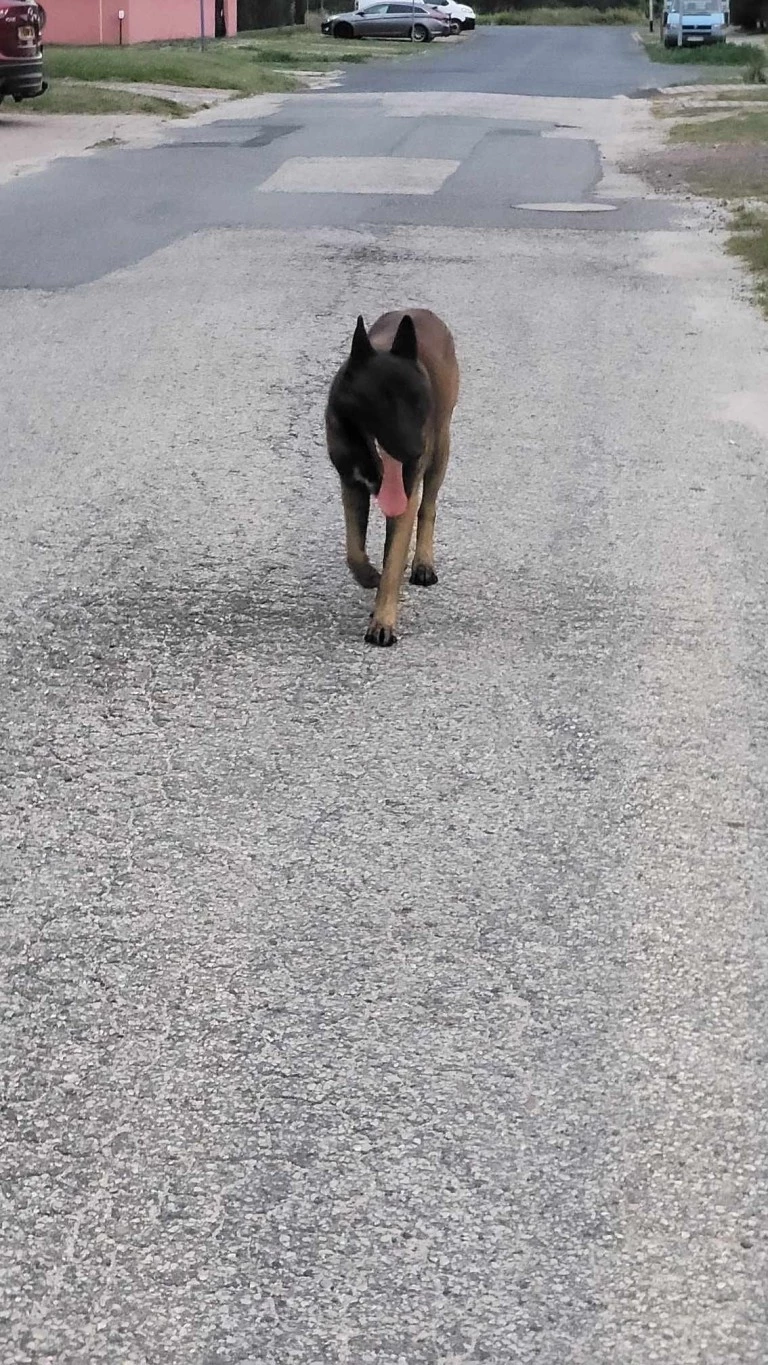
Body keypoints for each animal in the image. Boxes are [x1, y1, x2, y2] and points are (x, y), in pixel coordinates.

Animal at [326, 312, 463, 647]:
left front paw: (383, 622)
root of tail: (423, 310)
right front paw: (367, 576)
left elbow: (392, 565)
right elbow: (354, 549)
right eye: (383, 402)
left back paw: (423, 563)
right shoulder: (351, 486)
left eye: (418, 401)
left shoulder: (406, 497)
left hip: (441, 452)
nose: (415, 452)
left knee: (428, 508)